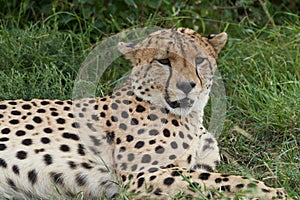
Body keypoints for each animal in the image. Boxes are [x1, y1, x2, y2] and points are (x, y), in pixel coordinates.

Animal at [0, 27, 286, 198]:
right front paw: (271, 192)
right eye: (163, 61)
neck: (190, 118)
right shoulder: (142, 175)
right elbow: (220, 180)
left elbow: (212, 178)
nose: (186, 85)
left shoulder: (196, 163)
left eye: (200, 60)